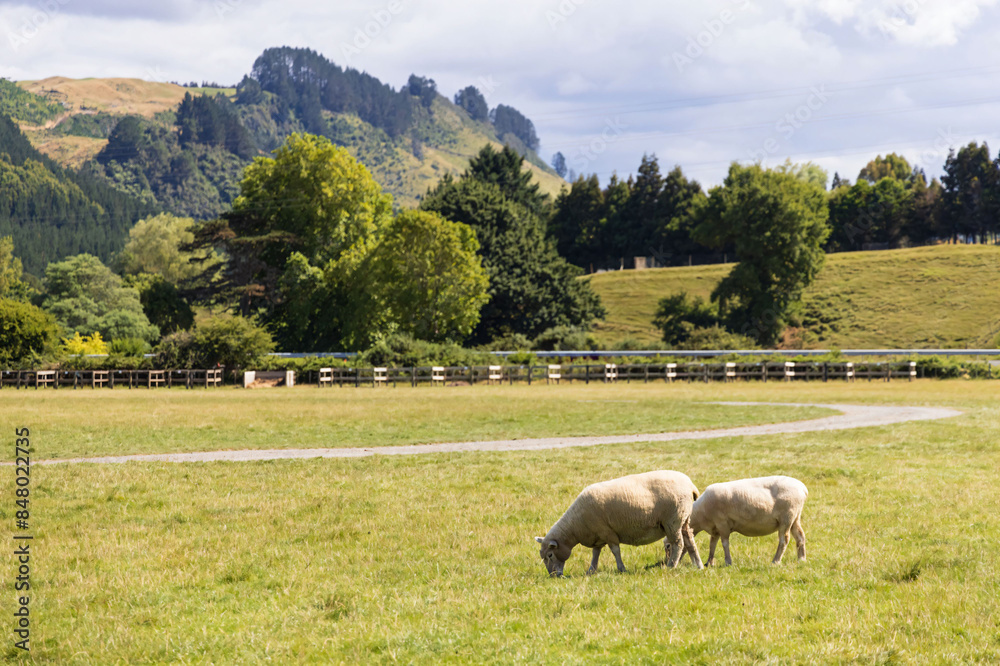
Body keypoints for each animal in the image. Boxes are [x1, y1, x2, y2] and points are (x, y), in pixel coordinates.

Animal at [534, 470, 704, 577]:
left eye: (550, 555)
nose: (553, 576)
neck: (575, 525)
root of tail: (690, 486)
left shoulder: (607, 532)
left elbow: (615, 551)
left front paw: (622, 569)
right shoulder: (598, 535)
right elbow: (595, 553)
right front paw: (591, 571)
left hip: (673, 521)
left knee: (678, 544)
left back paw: (671, 566)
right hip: (684, 519)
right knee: (690, 541)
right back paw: (699, 565)